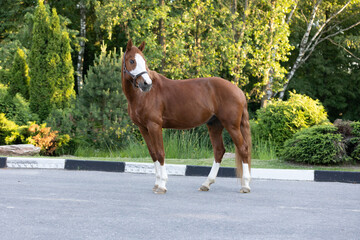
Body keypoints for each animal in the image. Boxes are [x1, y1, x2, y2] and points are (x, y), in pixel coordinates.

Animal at [121, 39, 250, 193]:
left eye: (144, 61)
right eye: (132, 60)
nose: (146, 84)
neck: (143, 96)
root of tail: (239, 91)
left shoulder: (154, 126)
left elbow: (160, 153)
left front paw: (162, 185)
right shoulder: (143, 128)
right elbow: (153, 154)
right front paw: (157, 184)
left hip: (232, 126)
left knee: (243, 149)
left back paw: (245, 185)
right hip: (215, 125)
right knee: (219, 151)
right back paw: (206, 183)